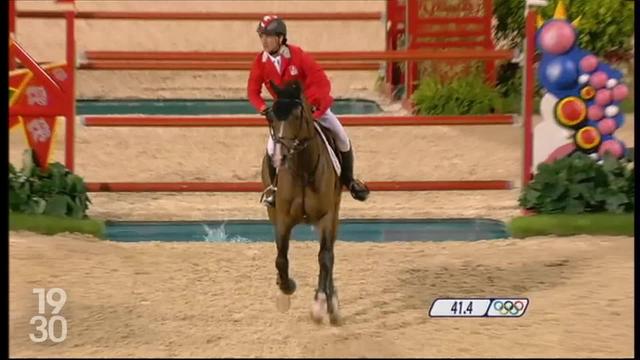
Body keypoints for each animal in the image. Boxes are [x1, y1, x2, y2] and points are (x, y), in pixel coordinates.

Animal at [260, 80, 342, 324]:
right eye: (271, 116)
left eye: (297, 115)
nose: (279, 157)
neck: (304, 170)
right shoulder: (283, 219)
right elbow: (281, 259)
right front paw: (286, 288)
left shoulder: (327, 217)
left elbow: (325, 257)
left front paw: (321, 304)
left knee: (329, 254)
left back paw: (332, 302)